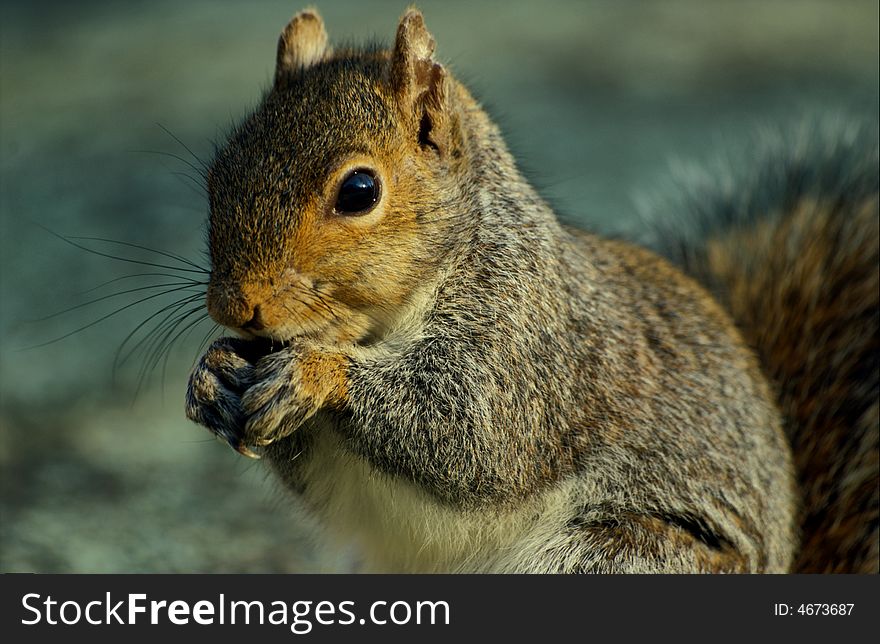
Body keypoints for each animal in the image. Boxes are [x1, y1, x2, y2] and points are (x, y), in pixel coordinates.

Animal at [182, 7, 876, 572]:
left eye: (359, 190)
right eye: (219, 173)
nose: (235, 306)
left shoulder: (532, 344)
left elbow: (475, 435)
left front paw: (315, 373)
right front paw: (213, 373)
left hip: (615, 557)